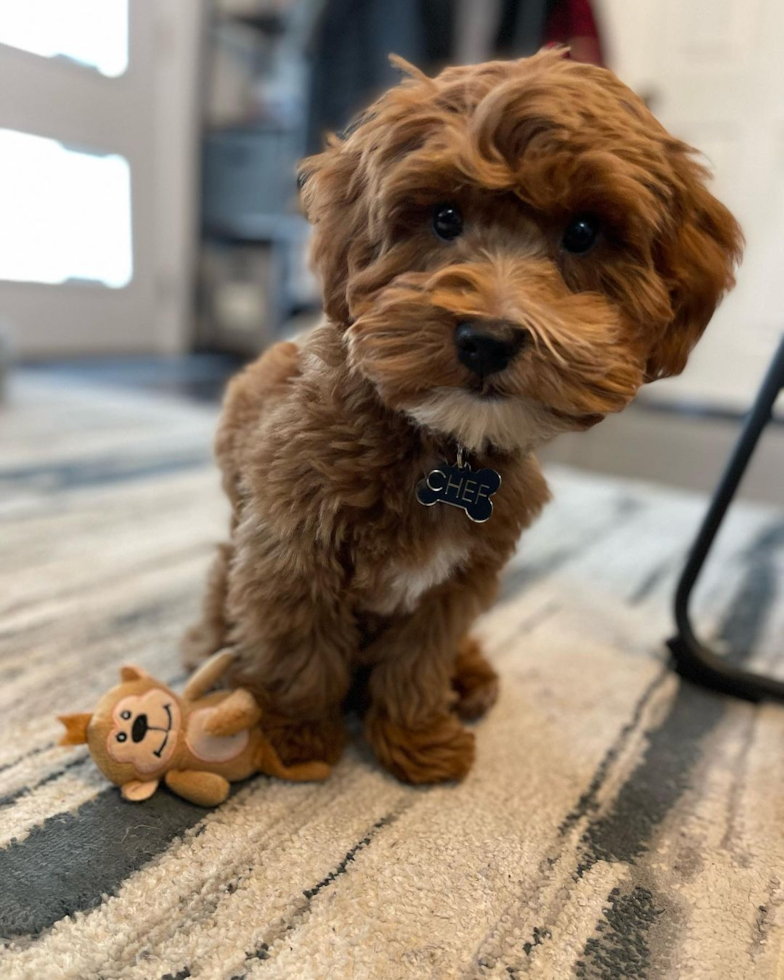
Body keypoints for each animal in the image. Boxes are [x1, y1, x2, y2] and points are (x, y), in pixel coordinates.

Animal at [184, 51, 740, 788]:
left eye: (583, 233)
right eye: (444, 218)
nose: (487, 339)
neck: (445, 445)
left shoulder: (457, 582)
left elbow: (418, 660)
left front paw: (415, 737)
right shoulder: (291, 551)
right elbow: (300, 648)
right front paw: (295, 735)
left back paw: (470, 677)